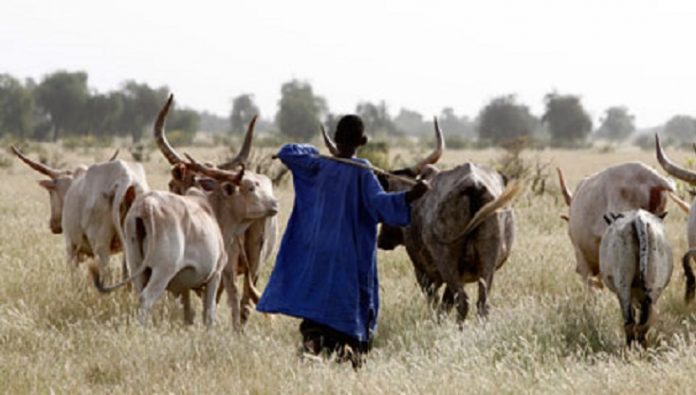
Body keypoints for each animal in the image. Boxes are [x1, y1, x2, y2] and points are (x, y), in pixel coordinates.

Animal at [11, 145, 147, 282]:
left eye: (51, 192)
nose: (52, 224)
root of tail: (124, 179)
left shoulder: (71, 246)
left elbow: (74, 277)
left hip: (101, 246)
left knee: (107, 273)